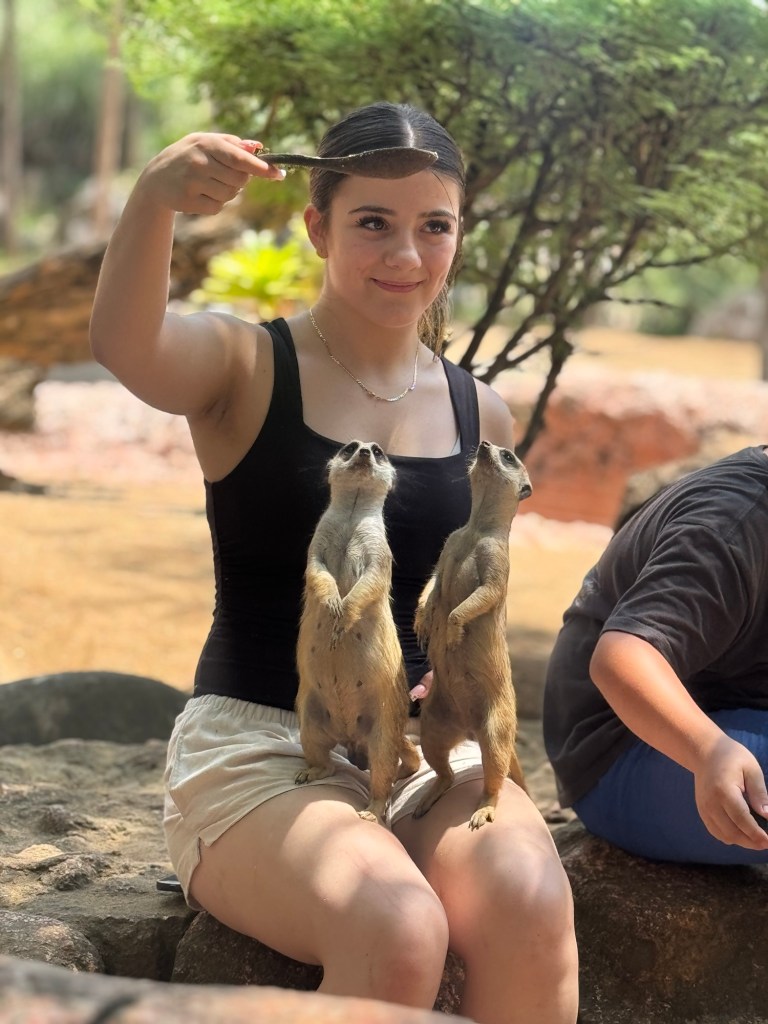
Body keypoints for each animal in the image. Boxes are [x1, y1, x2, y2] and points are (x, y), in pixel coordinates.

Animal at [295, 439, 420, 824]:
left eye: (378, 452)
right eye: (349, 448)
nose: (364, 452)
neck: (351, 518)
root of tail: (349, 736)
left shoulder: (380, 552)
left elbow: (371, 581)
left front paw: (345, 611)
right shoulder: (316, 542)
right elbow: (316, 571)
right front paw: (331, 602)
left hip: (384, 728)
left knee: (383, 768)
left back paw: (373, 809)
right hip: (309, 715)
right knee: (318, 749)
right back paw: (312, 770)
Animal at [413, 440, 532, 829]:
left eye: (508, 456)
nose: (483, 444)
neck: (475, 531)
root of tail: (468, 731)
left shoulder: (497, 561)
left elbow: (485, 593)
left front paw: (451, 629)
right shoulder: (449, 543)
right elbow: (435, 580)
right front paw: (423, 617)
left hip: (497, 726)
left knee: (495, 770)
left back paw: (485, 808)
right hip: (433, 720)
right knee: (441, 763)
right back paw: (432, 792)